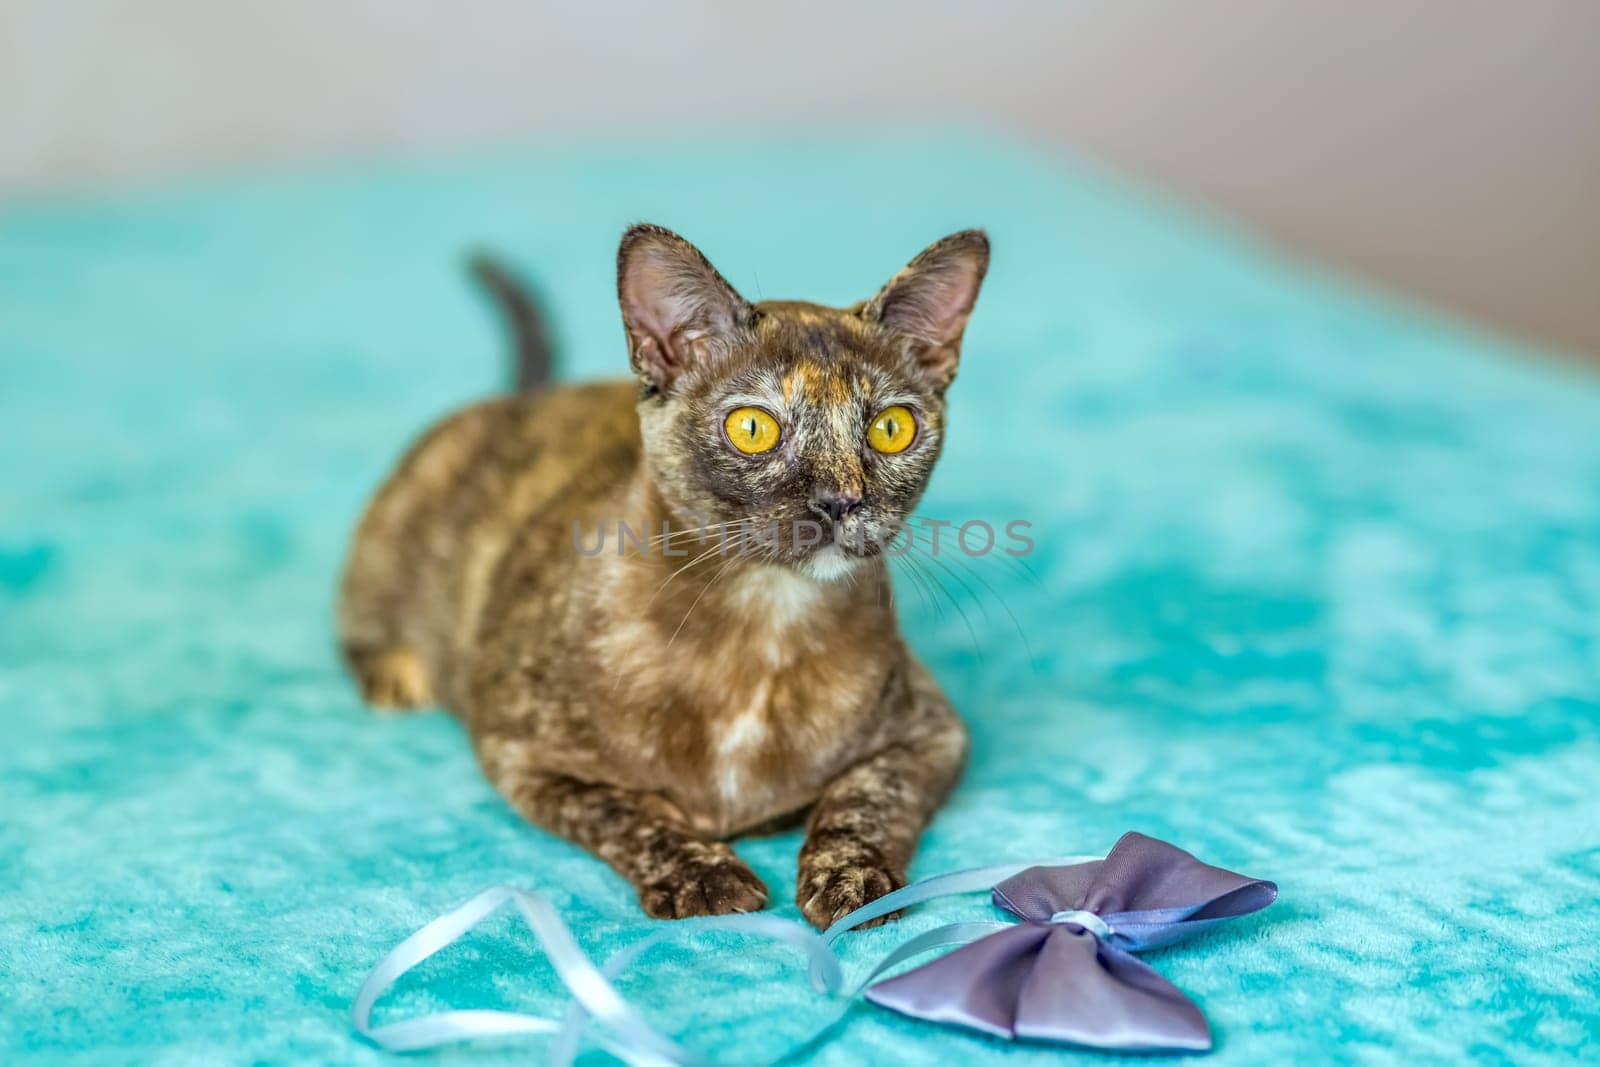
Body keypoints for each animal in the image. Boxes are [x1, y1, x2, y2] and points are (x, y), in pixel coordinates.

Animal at [337, 225, 985, 927]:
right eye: (752, 428)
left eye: (892, 428)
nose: (841, 500)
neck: (762, 626)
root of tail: (528, 396)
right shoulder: (522, 755)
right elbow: (626, 812)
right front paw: (701, 874)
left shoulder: (934, 733)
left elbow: (868, 795)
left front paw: (851, 874)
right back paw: (395, 672)